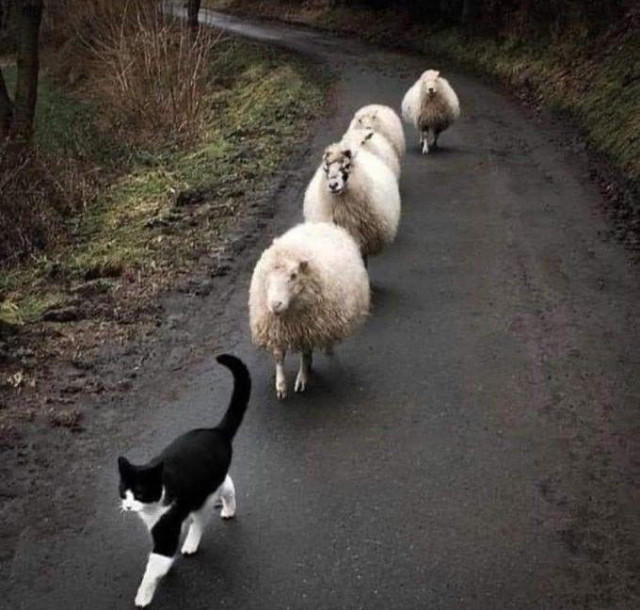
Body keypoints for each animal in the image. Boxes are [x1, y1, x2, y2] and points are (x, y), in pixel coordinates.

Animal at [119, 354, 251, 604]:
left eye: (140, 492)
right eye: (124, 492)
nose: (128, 506)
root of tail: (215, 431)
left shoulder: (166, 530)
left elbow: (154, 566)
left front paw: (143, 596)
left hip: (203, 498)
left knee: (201, 519)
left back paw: (192, 542)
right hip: (209, 486)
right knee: (228, 484)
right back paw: (228, 509)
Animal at [250, 223, 370, 400]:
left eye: (293, 275)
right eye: (267, 274)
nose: (275, 304)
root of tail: (322, 224)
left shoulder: (308, 328)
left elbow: (304, 354)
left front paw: (302, 378)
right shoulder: (275, 327)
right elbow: (279, 356)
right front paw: (281, 385)